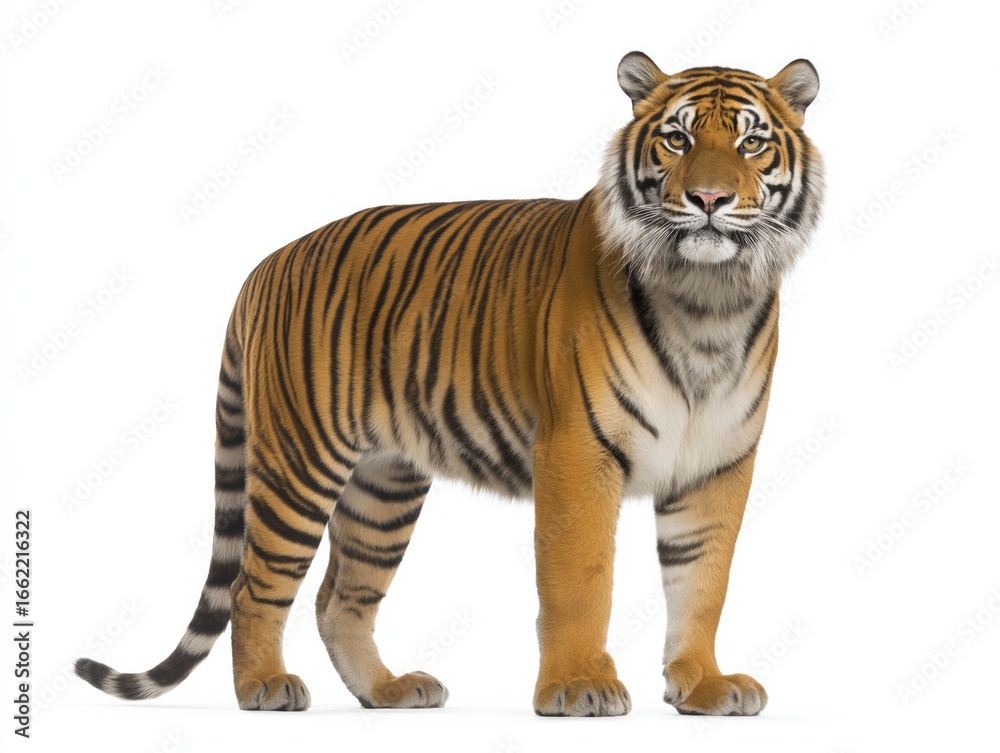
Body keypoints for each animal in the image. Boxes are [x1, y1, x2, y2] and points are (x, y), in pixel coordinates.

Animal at [75, 51, 824, 717]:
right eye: (677, 138)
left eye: (752, 142)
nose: (709, 199)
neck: (708, 298)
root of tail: (266, 263)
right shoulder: (578, 451)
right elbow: (582, 579)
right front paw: (579, 685)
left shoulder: (718, 463)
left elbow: (702, 583)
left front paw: (703, 685)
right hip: (300, 462)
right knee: (255, 585)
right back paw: (264, 685)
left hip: (384, 483)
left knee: (340, 598)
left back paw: (387, 691)